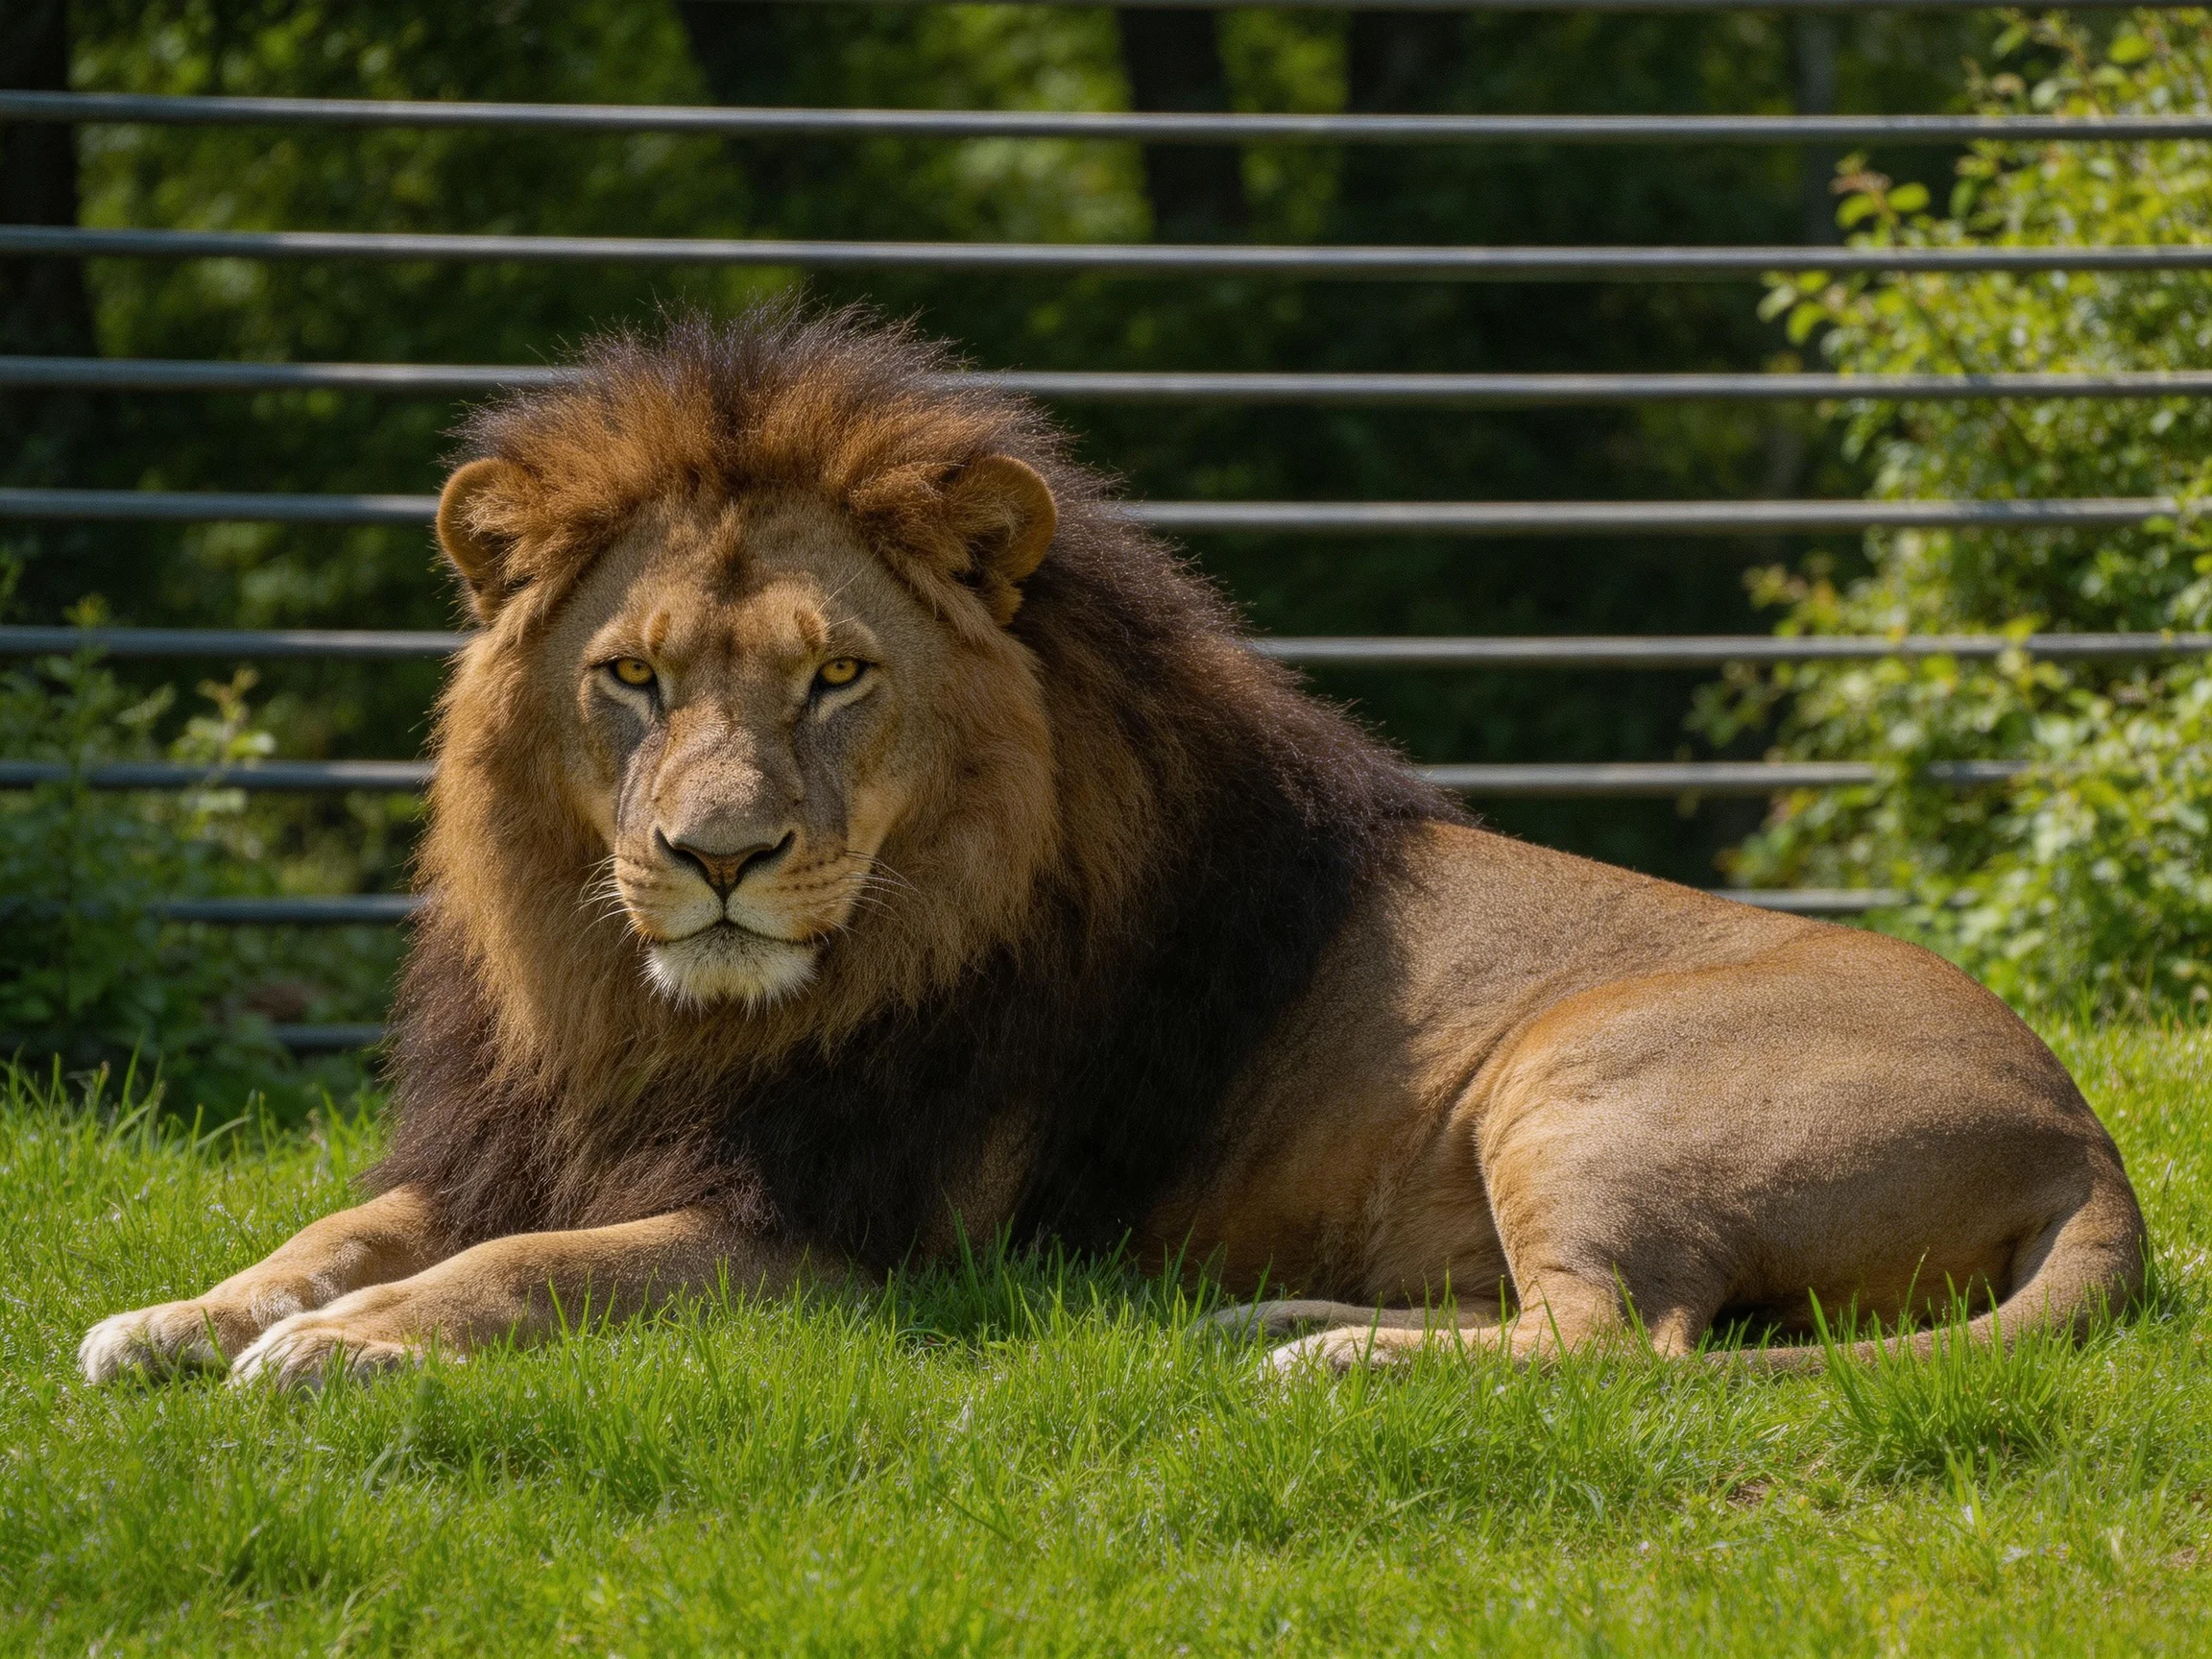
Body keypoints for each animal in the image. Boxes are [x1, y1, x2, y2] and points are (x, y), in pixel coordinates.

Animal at [79, 305, 2144, 1389]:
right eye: (631, 678)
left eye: (836, 676)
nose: (718, 857)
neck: (656, 1012)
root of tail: (2088, 1136)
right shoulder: (521, 1134)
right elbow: (336, 1229)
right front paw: (175, 1316)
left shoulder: (841, 1241)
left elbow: (528, 1272)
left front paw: (336, 1352)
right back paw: (1269, 1316)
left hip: (1577, 1069)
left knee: (1612, 1343)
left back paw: (1325, 1365)